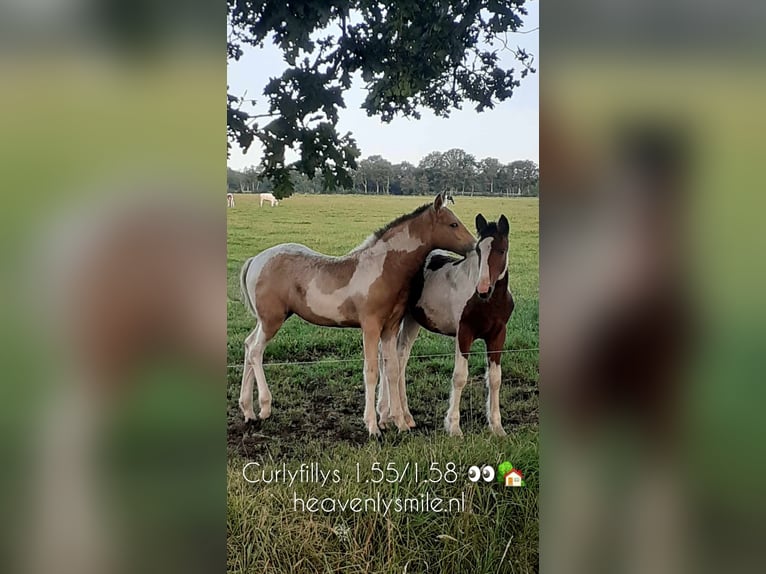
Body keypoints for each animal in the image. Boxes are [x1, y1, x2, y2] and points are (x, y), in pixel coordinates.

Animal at [240, 194, 480, 436]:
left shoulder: (391, 327)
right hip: (272, 320)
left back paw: (248, 411)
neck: (383, 268)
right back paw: (264, 407)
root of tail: (255, 260)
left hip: (265, 320)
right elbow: (371, 371)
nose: (474, 247)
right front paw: (373, 427)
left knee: (248, 345)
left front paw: (400, 424)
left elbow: (392, 370)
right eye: (453, 224)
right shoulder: (370, 326)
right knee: (256, 351)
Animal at [380, 215, 516, 436]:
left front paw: (497, 427)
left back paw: (404, 417)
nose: (483, 289)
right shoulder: (464, 333)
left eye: (502, 250)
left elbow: (495, 378)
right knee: (388, 360)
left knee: (400, 358)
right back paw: (385, 417)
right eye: (479, 251)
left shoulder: (498, 334)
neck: (488, 302)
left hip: (412, 321)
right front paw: (453, 427)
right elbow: (460, 377)